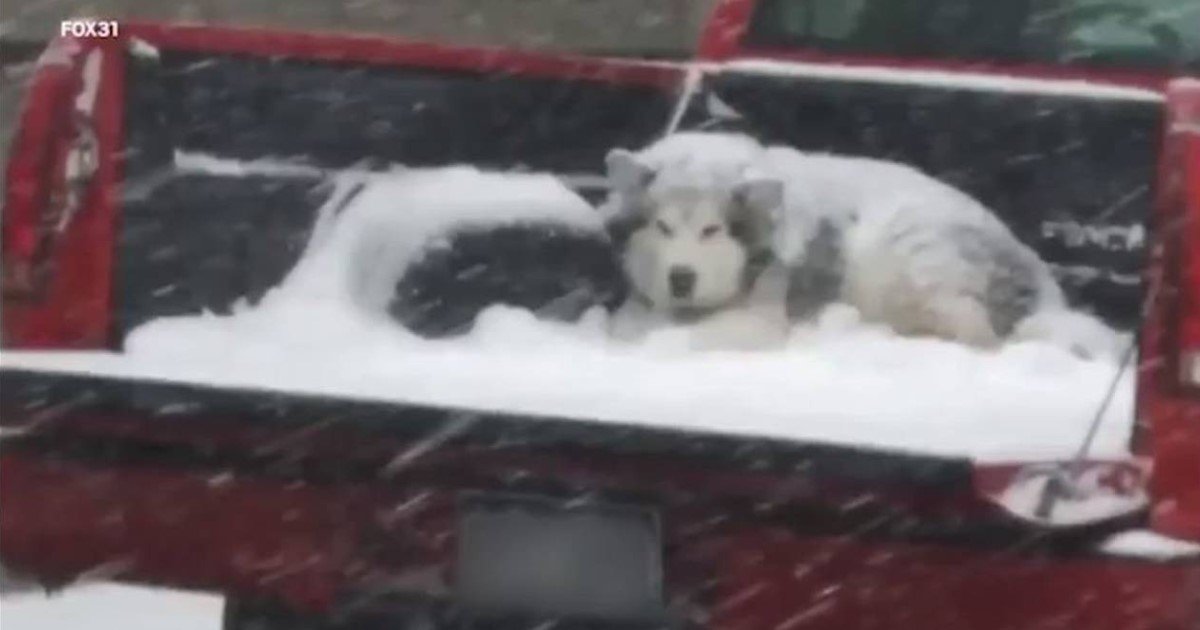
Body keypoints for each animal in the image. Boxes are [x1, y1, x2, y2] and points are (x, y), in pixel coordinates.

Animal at [604, 131, 1118, 357]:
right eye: (662, 227)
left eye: (713, 231)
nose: (681, 279)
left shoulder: (765, 319)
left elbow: (695, 337)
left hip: (910, 254)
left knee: (981, 338)